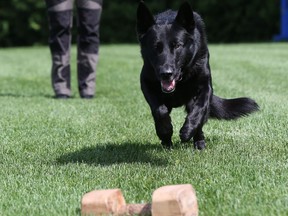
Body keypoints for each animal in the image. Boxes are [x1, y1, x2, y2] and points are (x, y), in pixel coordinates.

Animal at [136, 1, 260, 149]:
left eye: (177, 45)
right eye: (156, 47)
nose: (166, 74)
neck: (181, 79)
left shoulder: (205, 87)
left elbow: (199, 110)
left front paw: (188, 130)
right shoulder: (146, 84)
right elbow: (159, 111)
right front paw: (165, 131)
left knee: (199, 118)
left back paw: (198, 142)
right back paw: (167, 144)